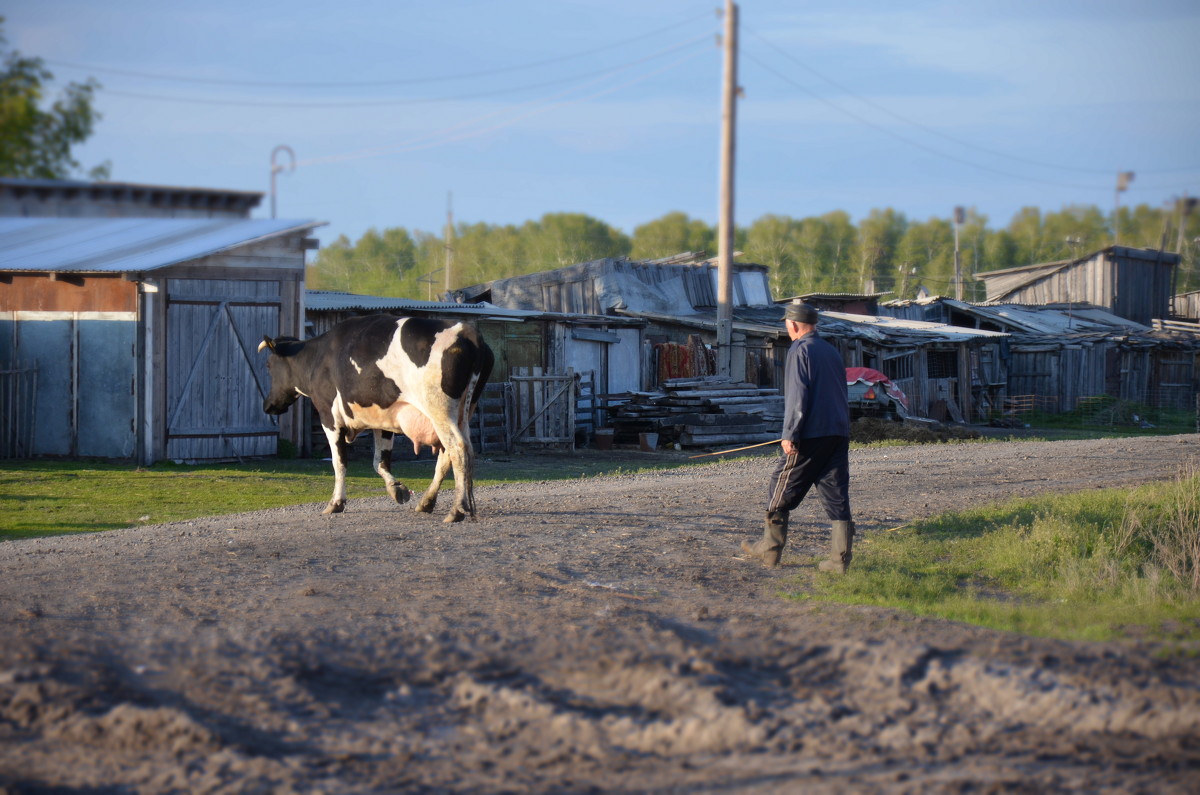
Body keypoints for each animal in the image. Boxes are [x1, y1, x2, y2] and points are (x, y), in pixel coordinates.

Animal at [258, 314, 492, 525]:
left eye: (269, 365)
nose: (267, 405)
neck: (318, 358)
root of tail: (466, 330)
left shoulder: (329, 417)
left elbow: (339, 462)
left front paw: (336, 502)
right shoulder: (385, 417)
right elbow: (380, 461)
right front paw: (397, 489)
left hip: (439, 411)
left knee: (457, 450)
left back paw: (456, 509)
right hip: (463, 412)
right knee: (448, 454)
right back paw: (427, 502)